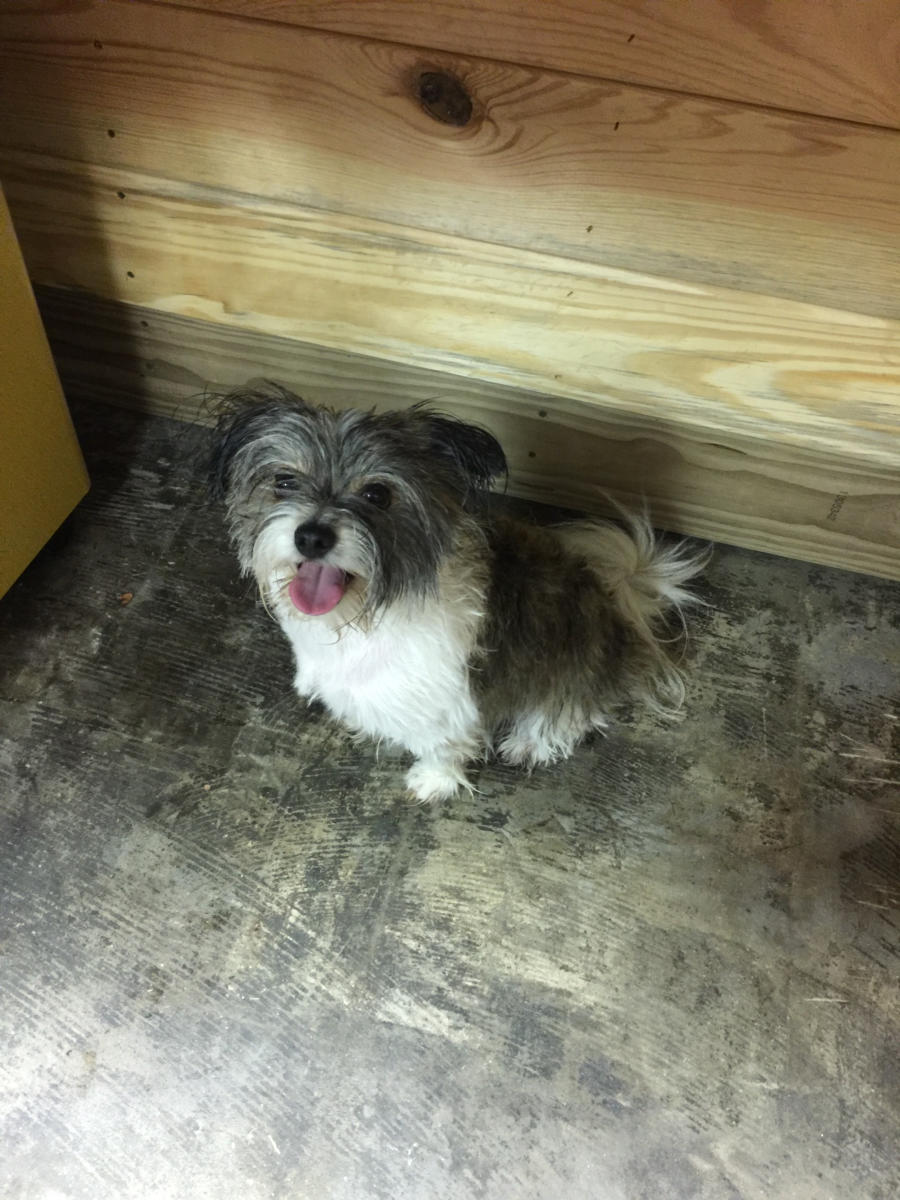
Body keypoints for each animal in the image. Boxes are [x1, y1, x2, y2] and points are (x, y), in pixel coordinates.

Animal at [211, 384, 707, 802]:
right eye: (284, 481)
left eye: (377, 494)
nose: (312, 536)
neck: (364, 616)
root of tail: (614, 596)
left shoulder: (448, 703)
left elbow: (444, 746)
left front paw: (433, 781)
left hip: (570, 662)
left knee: (575, 711)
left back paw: (532, 741)